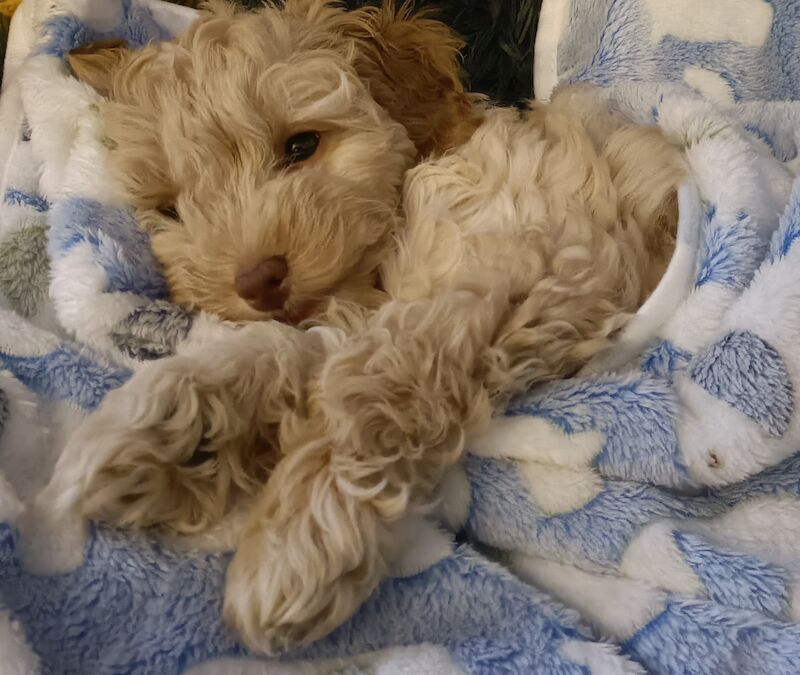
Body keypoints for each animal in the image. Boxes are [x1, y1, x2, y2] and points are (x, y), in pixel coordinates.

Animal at [47, 0, 684, 656]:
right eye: (170, 209)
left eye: (301, 145)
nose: (256, 281)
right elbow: (299, 349)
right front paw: (175, 429)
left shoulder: (541, 261)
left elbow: (371, 373)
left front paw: (298, 538)